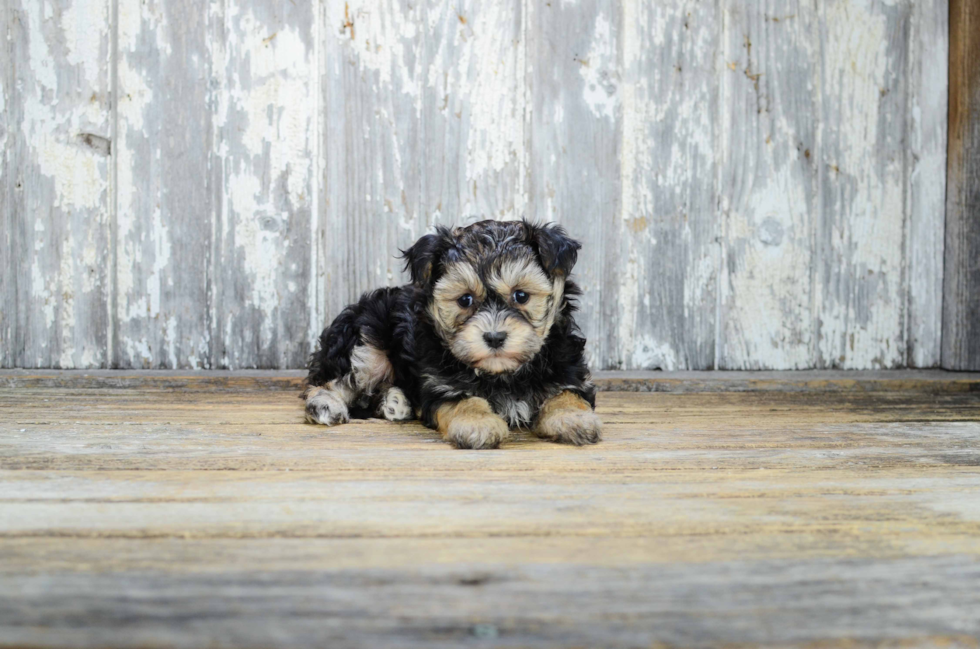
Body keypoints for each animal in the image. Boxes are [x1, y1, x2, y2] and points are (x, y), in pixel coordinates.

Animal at [302, 220, 600, 448]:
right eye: (465, 300)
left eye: (521, 295)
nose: (494, 337)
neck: (503, 374)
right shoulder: (439, 383)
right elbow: (461, 399)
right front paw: (477, 423)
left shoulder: (568, 370)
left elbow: (567, 393)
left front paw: (574, 418)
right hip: (365, 342)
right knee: (333, 380)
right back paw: (326, 405)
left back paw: (395, 402)